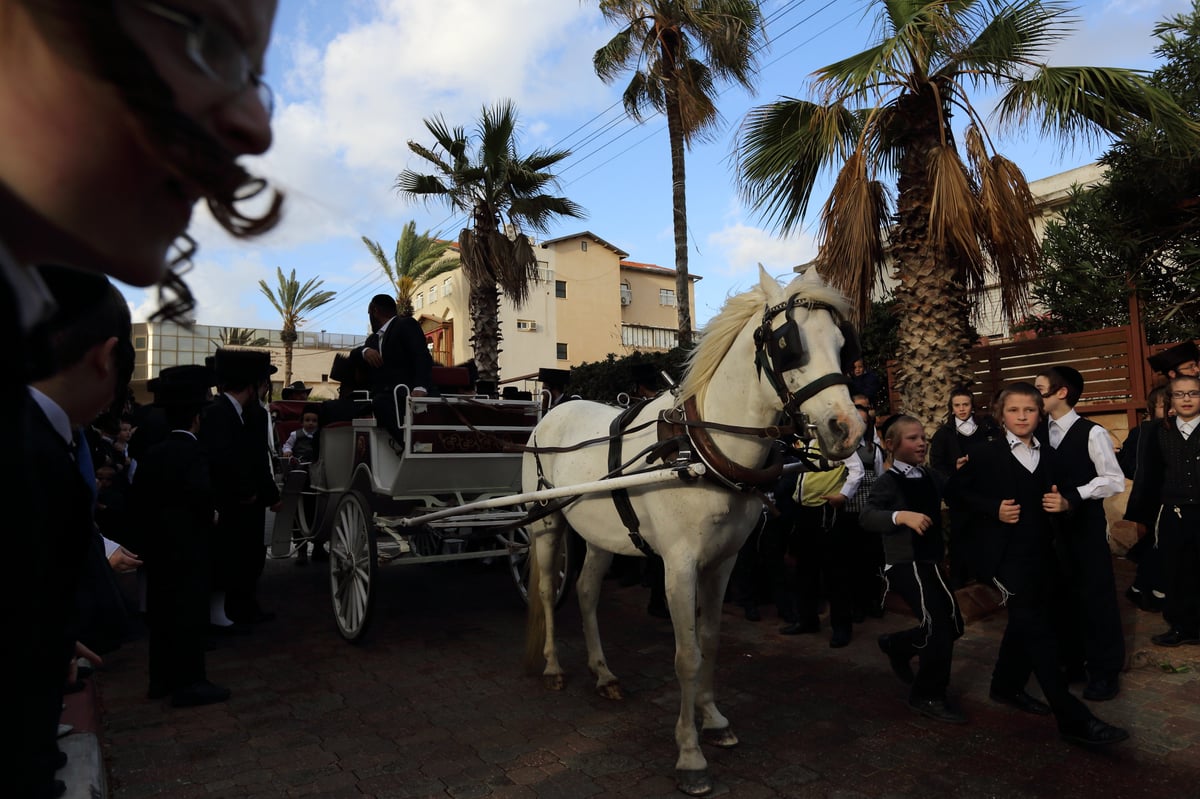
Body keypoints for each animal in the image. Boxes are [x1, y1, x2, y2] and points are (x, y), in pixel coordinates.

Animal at [520, 266, 868, 791]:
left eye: (842, 343)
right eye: (787, 344)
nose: (846, 429)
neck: (702, 449)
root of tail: (554, 410)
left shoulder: (723, 562)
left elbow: (711, 642)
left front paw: (715, 720)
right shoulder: (678, 566)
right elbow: (686, 655)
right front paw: (689, 754)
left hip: (602, 532)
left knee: (585, 591)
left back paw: (603, 673)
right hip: (546, 521)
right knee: (545, 590)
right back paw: (554, 666)